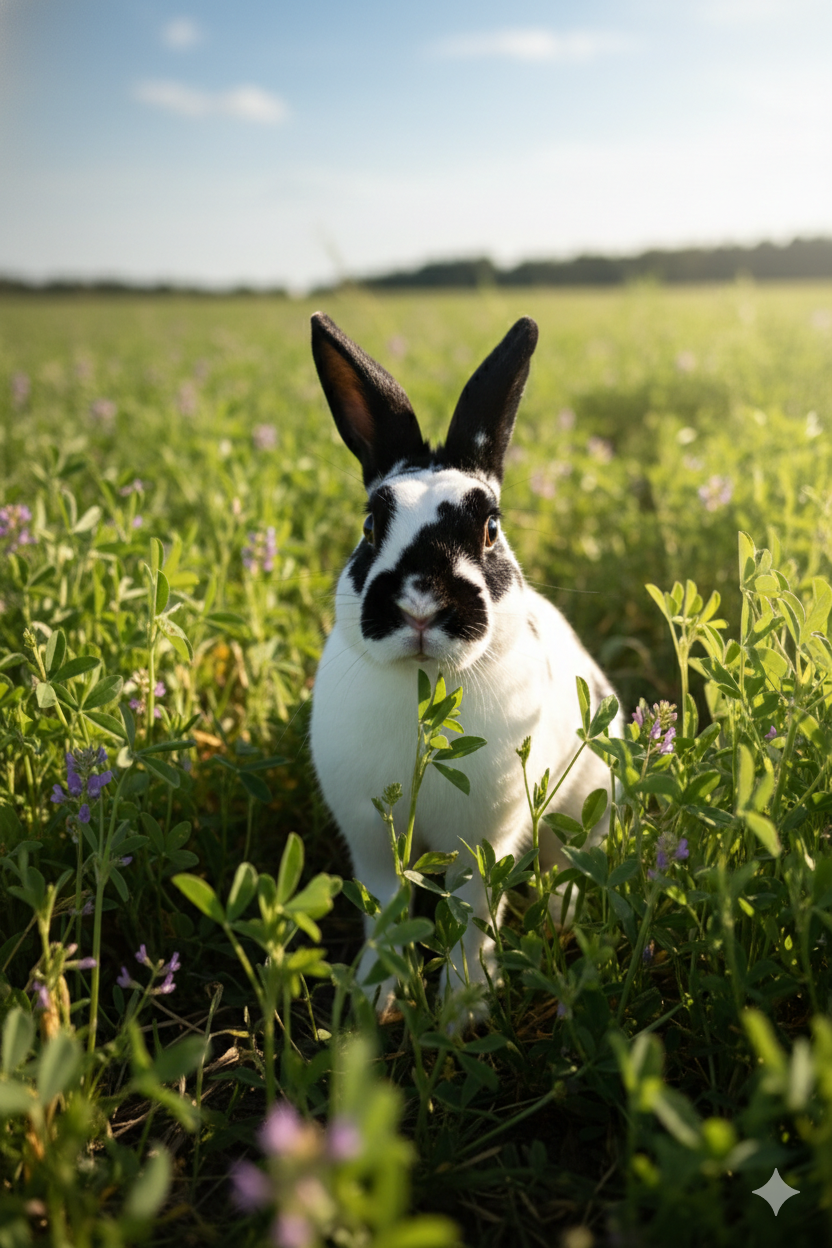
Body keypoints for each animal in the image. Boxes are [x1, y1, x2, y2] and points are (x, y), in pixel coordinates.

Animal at [309, 311, 622, 1021]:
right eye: (371, 526)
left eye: (490, 530)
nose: (422, 604)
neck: (423, 692)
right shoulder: (371, 839)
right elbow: (386, 907)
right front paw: (375, 999)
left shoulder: (486, 838)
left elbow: (472, 910)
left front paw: (464, 1008)